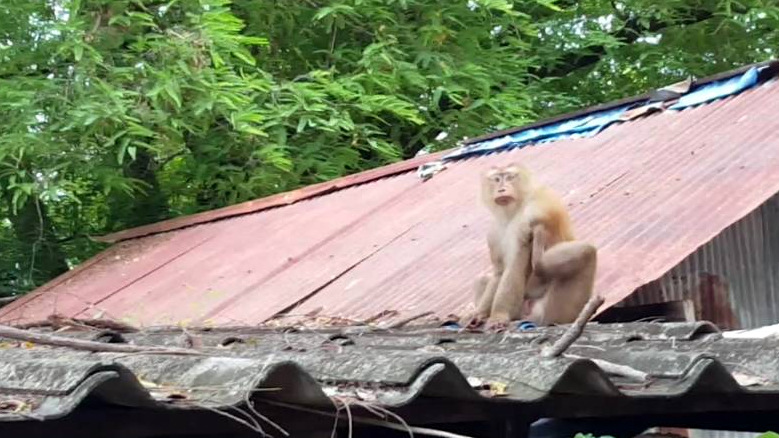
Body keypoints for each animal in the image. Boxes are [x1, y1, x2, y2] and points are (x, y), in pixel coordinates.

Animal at [460, 163, 597, 330]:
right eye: (497, 179)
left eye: (509, 177)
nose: (501, 189)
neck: (512, 213)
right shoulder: (493, 233)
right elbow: (499, 272)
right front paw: (478, 314)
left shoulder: (529, 217)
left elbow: (515, 266)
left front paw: (499, 316)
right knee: (481, 279)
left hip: (545, 312)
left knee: (584, 252)